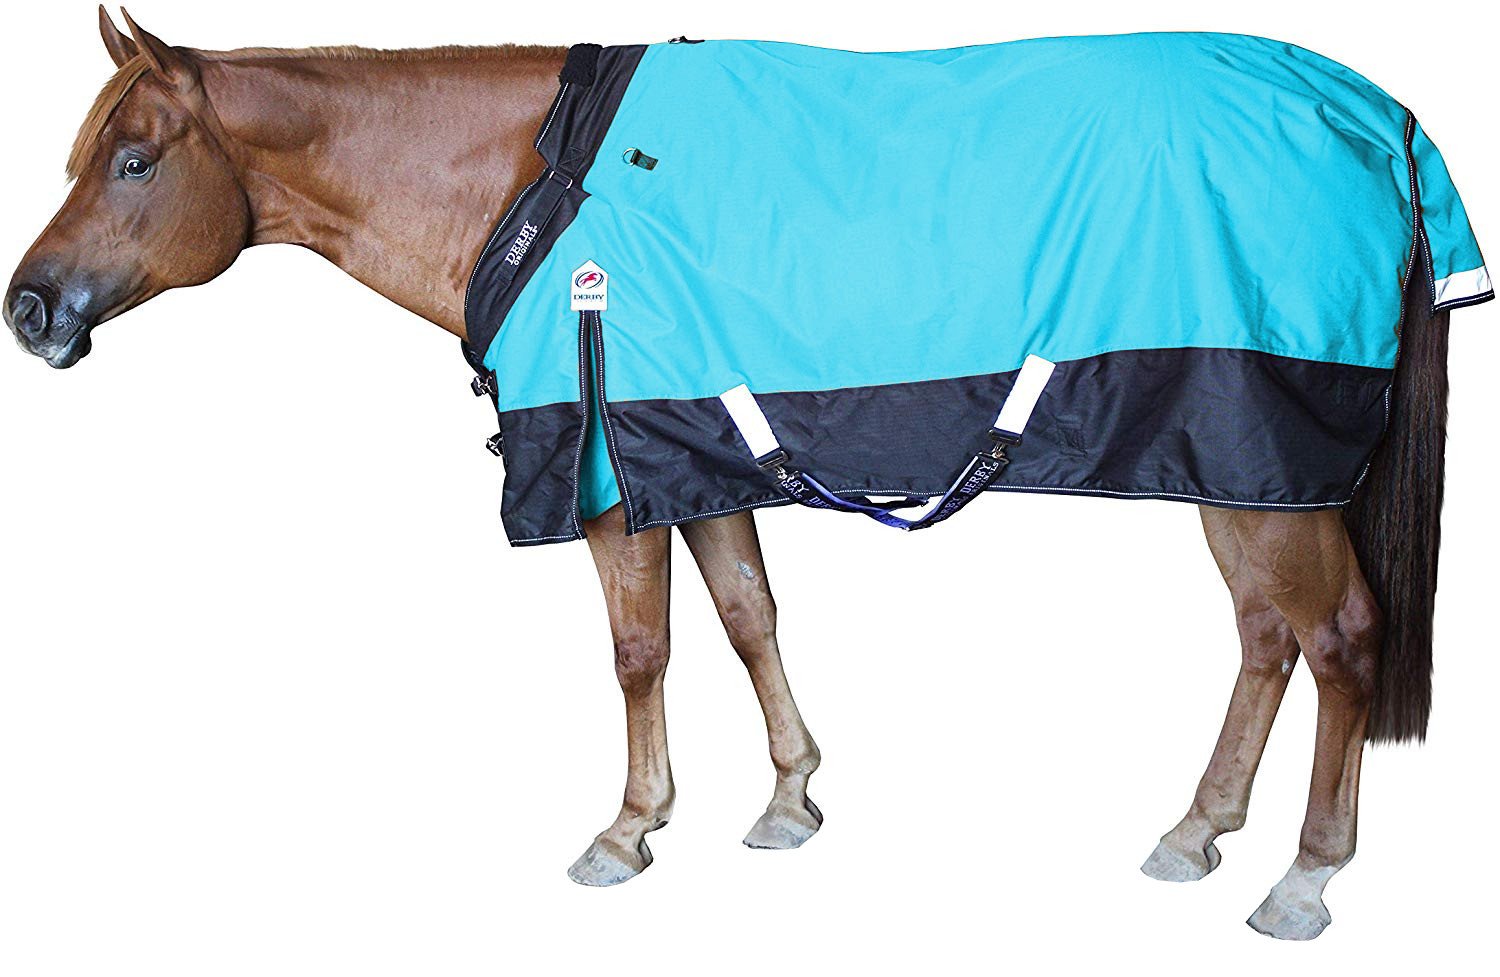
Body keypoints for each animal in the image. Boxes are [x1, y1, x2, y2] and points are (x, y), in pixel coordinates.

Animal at [2, 10, 1474, 940]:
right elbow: (750, 617)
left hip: (1264, 459)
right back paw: (1195, 829)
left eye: (133, 160)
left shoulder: (604, 472)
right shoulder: (690, 458)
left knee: (1340, 637)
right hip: (1239, 465)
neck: (538, 189)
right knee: (1267, 638)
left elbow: (642, 649)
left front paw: (628, 828)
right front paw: (788, 799)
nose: (28, 309)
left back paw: (1304, 881)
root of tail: (1382, 116)